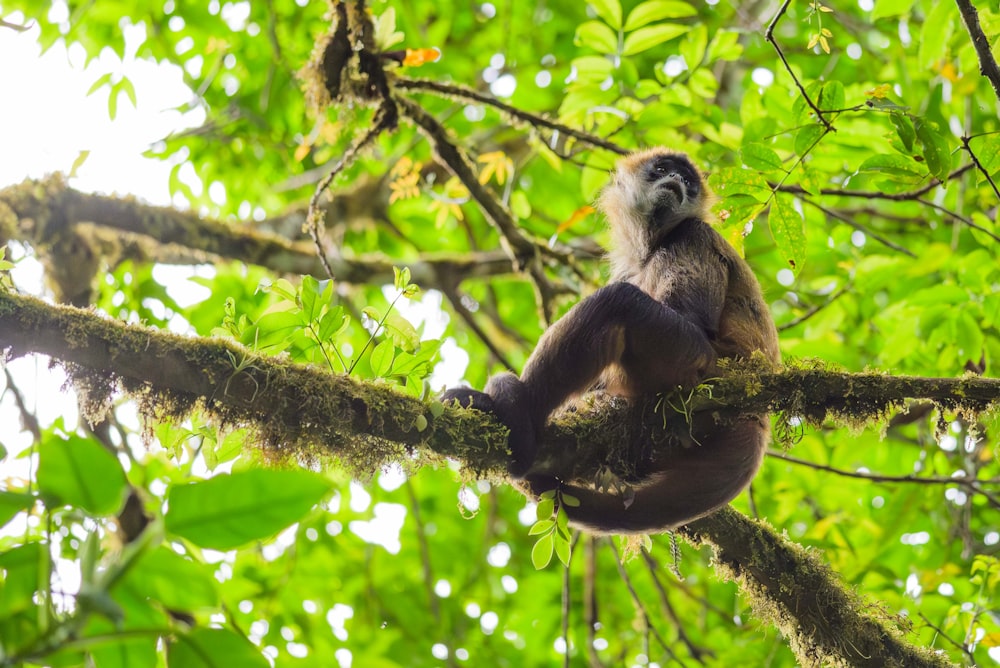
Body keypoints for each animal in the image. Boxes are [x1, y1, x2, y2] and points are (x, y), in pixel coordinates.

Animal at [446, 149, 780, 536]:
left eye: (688, 181)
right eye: (663, 170)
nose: (677, 182)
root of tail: (758, 419)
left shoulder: (692, 234)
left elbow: (692, 318)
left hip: (692, 365)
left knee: (619, 301)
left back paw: (521, 416)